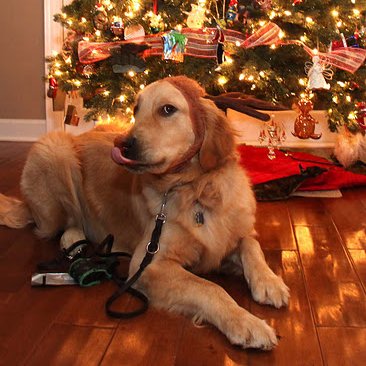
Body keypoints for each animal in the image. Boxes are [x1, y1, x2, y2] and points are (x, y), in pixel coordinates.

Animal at [0, 76, 288, 350]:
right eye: (136, 109)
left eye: (167, 109)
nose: (122, 146)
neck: (195, 189)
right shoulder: (148, 263)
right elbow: (210, 287)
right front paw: (248, 323)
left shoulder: (233, 234)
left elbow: (251, 246)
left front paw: (269, 282)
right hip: (55, 149)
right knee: (63, 224)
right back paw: (74, 240)